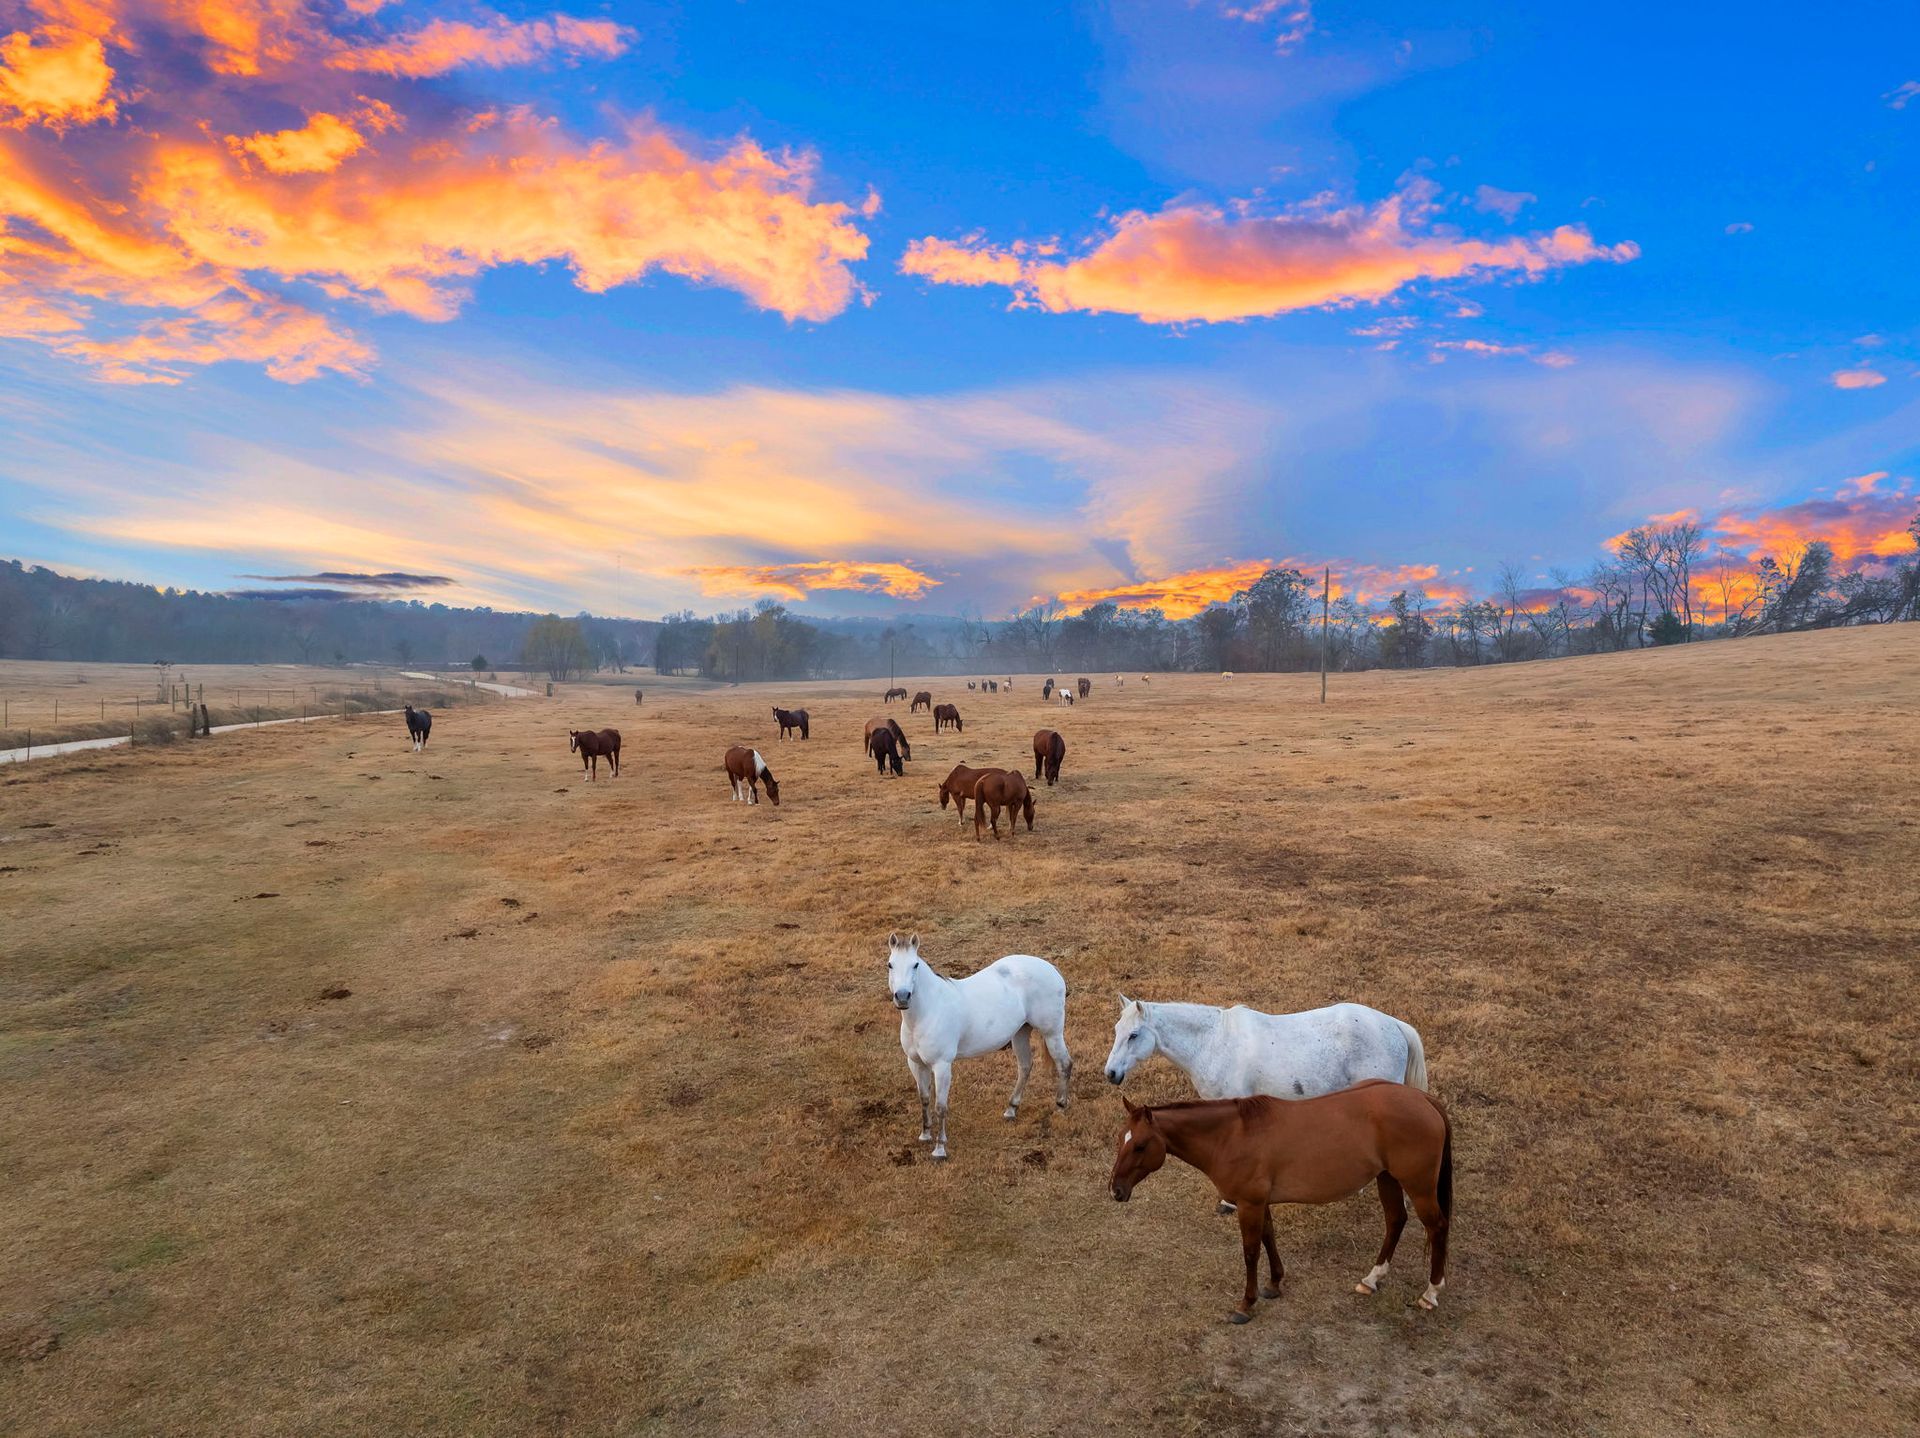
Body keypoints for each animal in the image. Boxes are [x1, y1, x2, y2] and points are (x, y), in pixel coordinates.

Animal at [887, 932, 1071, 1160]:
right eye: (890, 964)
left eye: (915, 965)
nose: (903, 997)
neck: (929, 1010)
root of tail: (1052, 969)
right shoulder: (915, 1063)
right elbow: (924, 1099)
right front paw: (925, 1135)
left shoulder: (942, 1066)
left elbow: (940, 1107)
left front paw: (939, 1149)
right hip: (1020, 1033)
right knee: (1025, 1067)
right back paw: (1011, 1109)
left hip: (1052, 1033)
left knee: (1064, 1064)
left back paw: (1061, 1106)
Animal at [1109, 1084, 1453, 1321]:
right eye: (1120, 1138)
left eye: (1140, 1146)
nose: (1116, 1190)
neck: (1232, 1136)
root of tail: (1424, 1099)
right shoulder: (1261, 1203)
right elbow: (1268, 1239)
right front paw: (1274, 1284)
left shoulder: (1248, 1204)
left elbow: (1250, 1252)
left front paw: (1246, 1304)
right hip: (1387, 1179)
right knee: (1395, 1220)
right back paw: (1372, 1279)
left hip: (1418, 1187)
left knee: (1437, 1227)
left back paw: (1431, 1293)